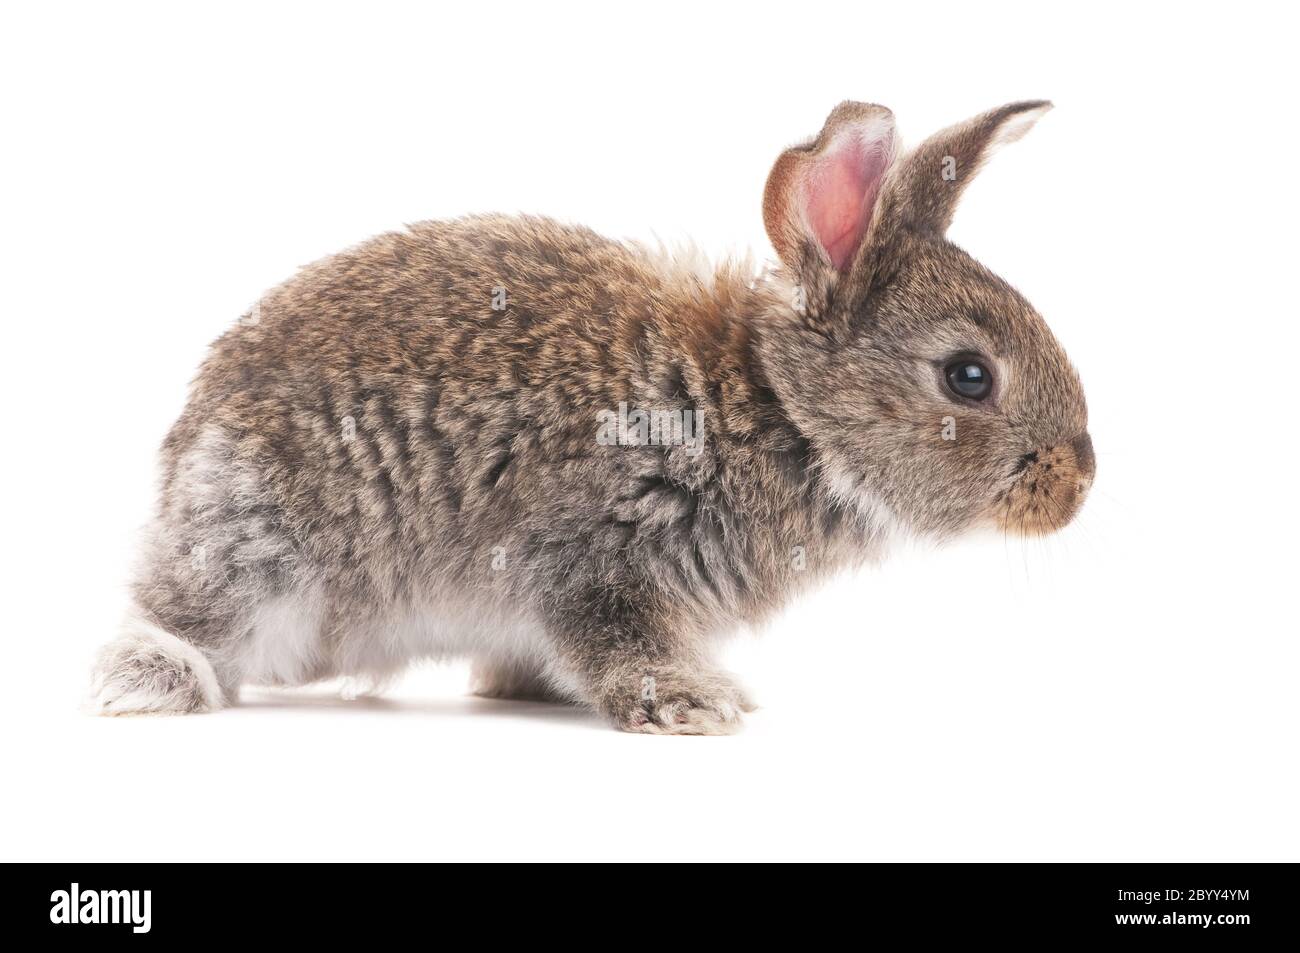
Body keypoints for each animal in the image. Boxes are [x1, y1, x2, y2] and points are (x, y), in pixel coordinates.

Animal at [86, 100, 1092, 733]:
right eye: (969, 376)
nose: (1079, 482)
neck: (777, 408)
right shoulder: (593, 556)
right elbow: (615, 635)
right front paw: (694, 704)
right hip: (256, 543)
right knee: (182, 612)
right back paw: (151, 677)